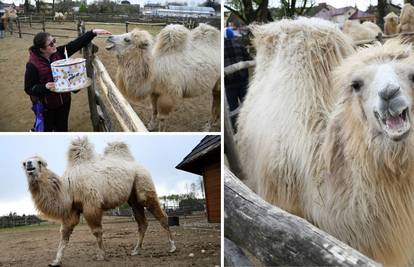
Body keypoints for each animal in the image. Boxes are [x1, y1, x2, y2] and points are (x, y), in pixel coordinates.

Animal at [23, 138, 175, 267]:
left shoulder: (91, 205)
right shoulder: (72, 210)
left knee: (160, 215)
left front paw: (102, 255)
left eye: (40, 162)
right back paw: (136, 250)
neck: (68, 187)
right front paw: (56, 261)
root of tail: (137, 164)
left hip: (143, 184)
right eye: (24, 163)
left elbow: (97, 231)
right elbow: (64, 234)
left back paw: (172, 247)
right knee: (142, 223)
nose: (29, 164)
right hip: (133, 198)